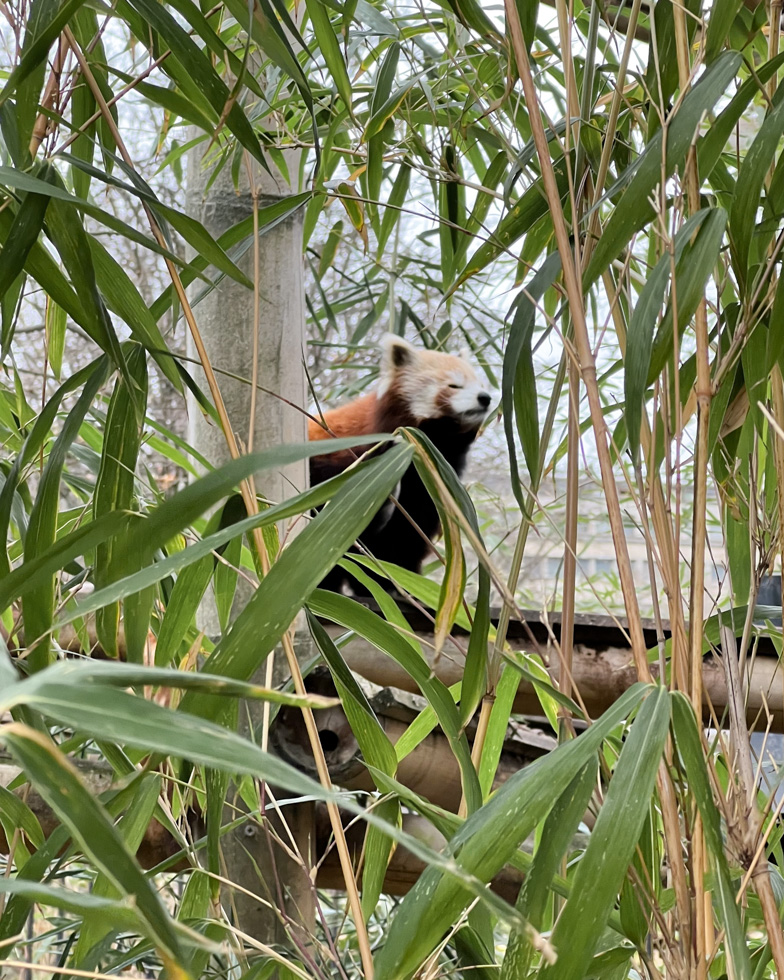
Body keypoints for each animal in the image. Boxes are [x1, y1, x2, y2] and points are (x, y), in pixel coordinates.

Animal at [308, 334, 486, 592]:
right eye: (454, 386)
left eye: (480, 385)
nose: (485, 398)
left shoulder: (429, 483)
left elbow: (407, 537)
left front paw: (399, 584)